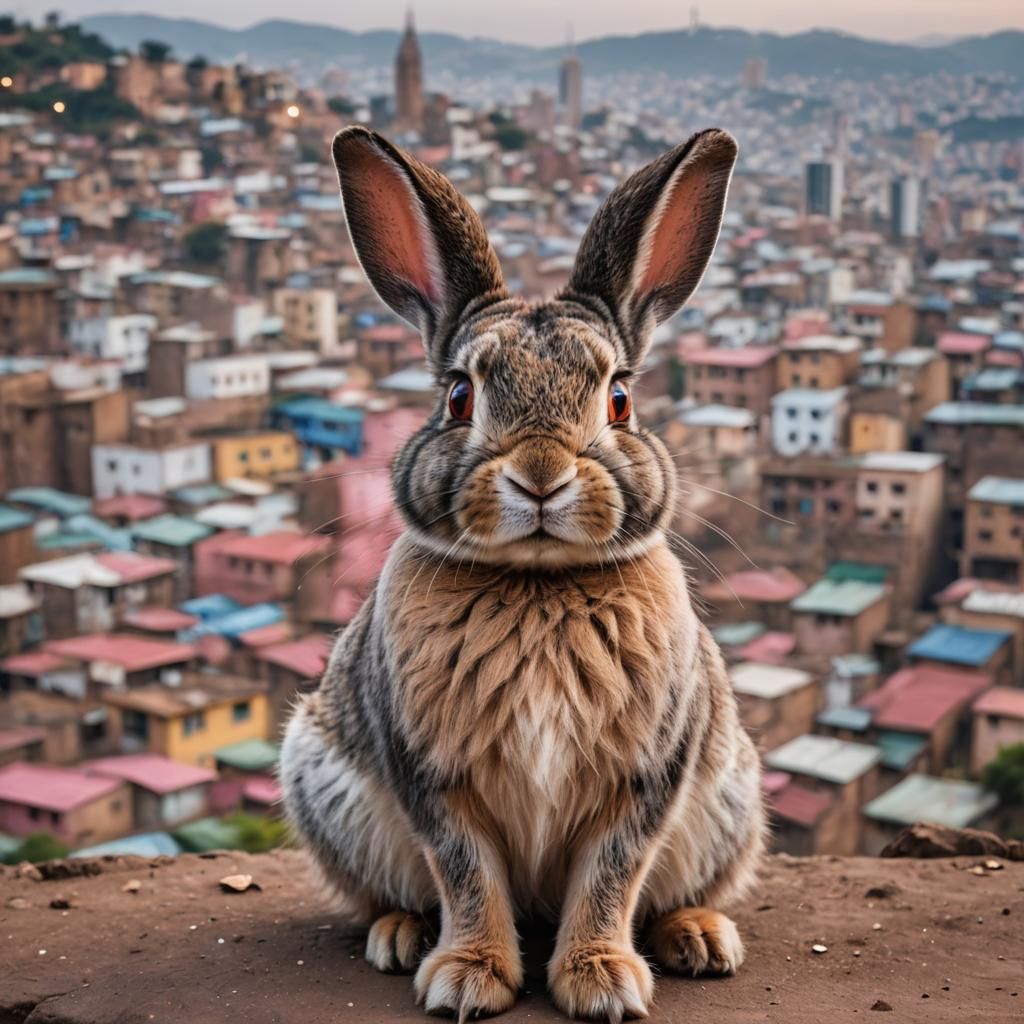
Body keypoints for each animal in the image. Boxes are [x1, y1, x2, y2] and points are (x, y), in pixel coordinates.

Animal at [280, 125, 766, 1022]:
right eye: (459, 398)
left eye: (619, 400)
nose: (540, 476)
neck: (539, 584)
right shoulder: (434, 775)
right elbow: (466, 871)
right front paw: (467, 978)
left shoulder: (645, 778)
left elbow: (613, 873)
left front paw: (601, 982)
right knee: (390, 893)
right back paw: (401, 937)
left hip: (729, 801)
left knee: (679, 890)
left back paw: (700, 938)